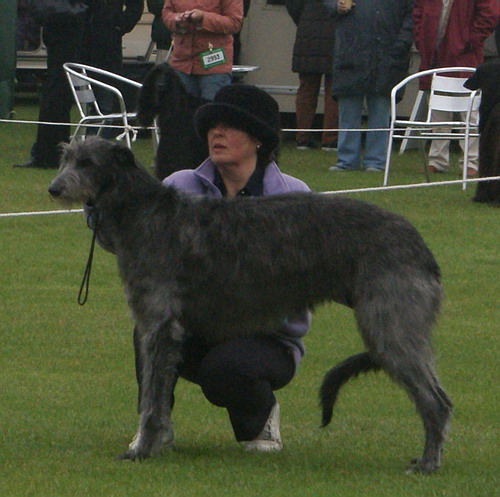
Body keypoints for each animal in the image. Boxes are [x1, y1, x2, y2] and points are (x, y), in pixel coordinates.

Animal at [49, 137, 454, 472]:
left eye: (87, 162)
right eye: (65, 157)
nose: (54, 188)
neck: (144, 211)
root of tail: (420, 247)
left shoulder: (159, 326)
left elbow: (151, 399)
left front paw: (141, 450)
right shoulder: (160, 330)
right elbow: (157, 395)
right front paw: (155, 444)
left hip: (391, 325)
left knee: (437, 402)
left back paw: (428, 464)